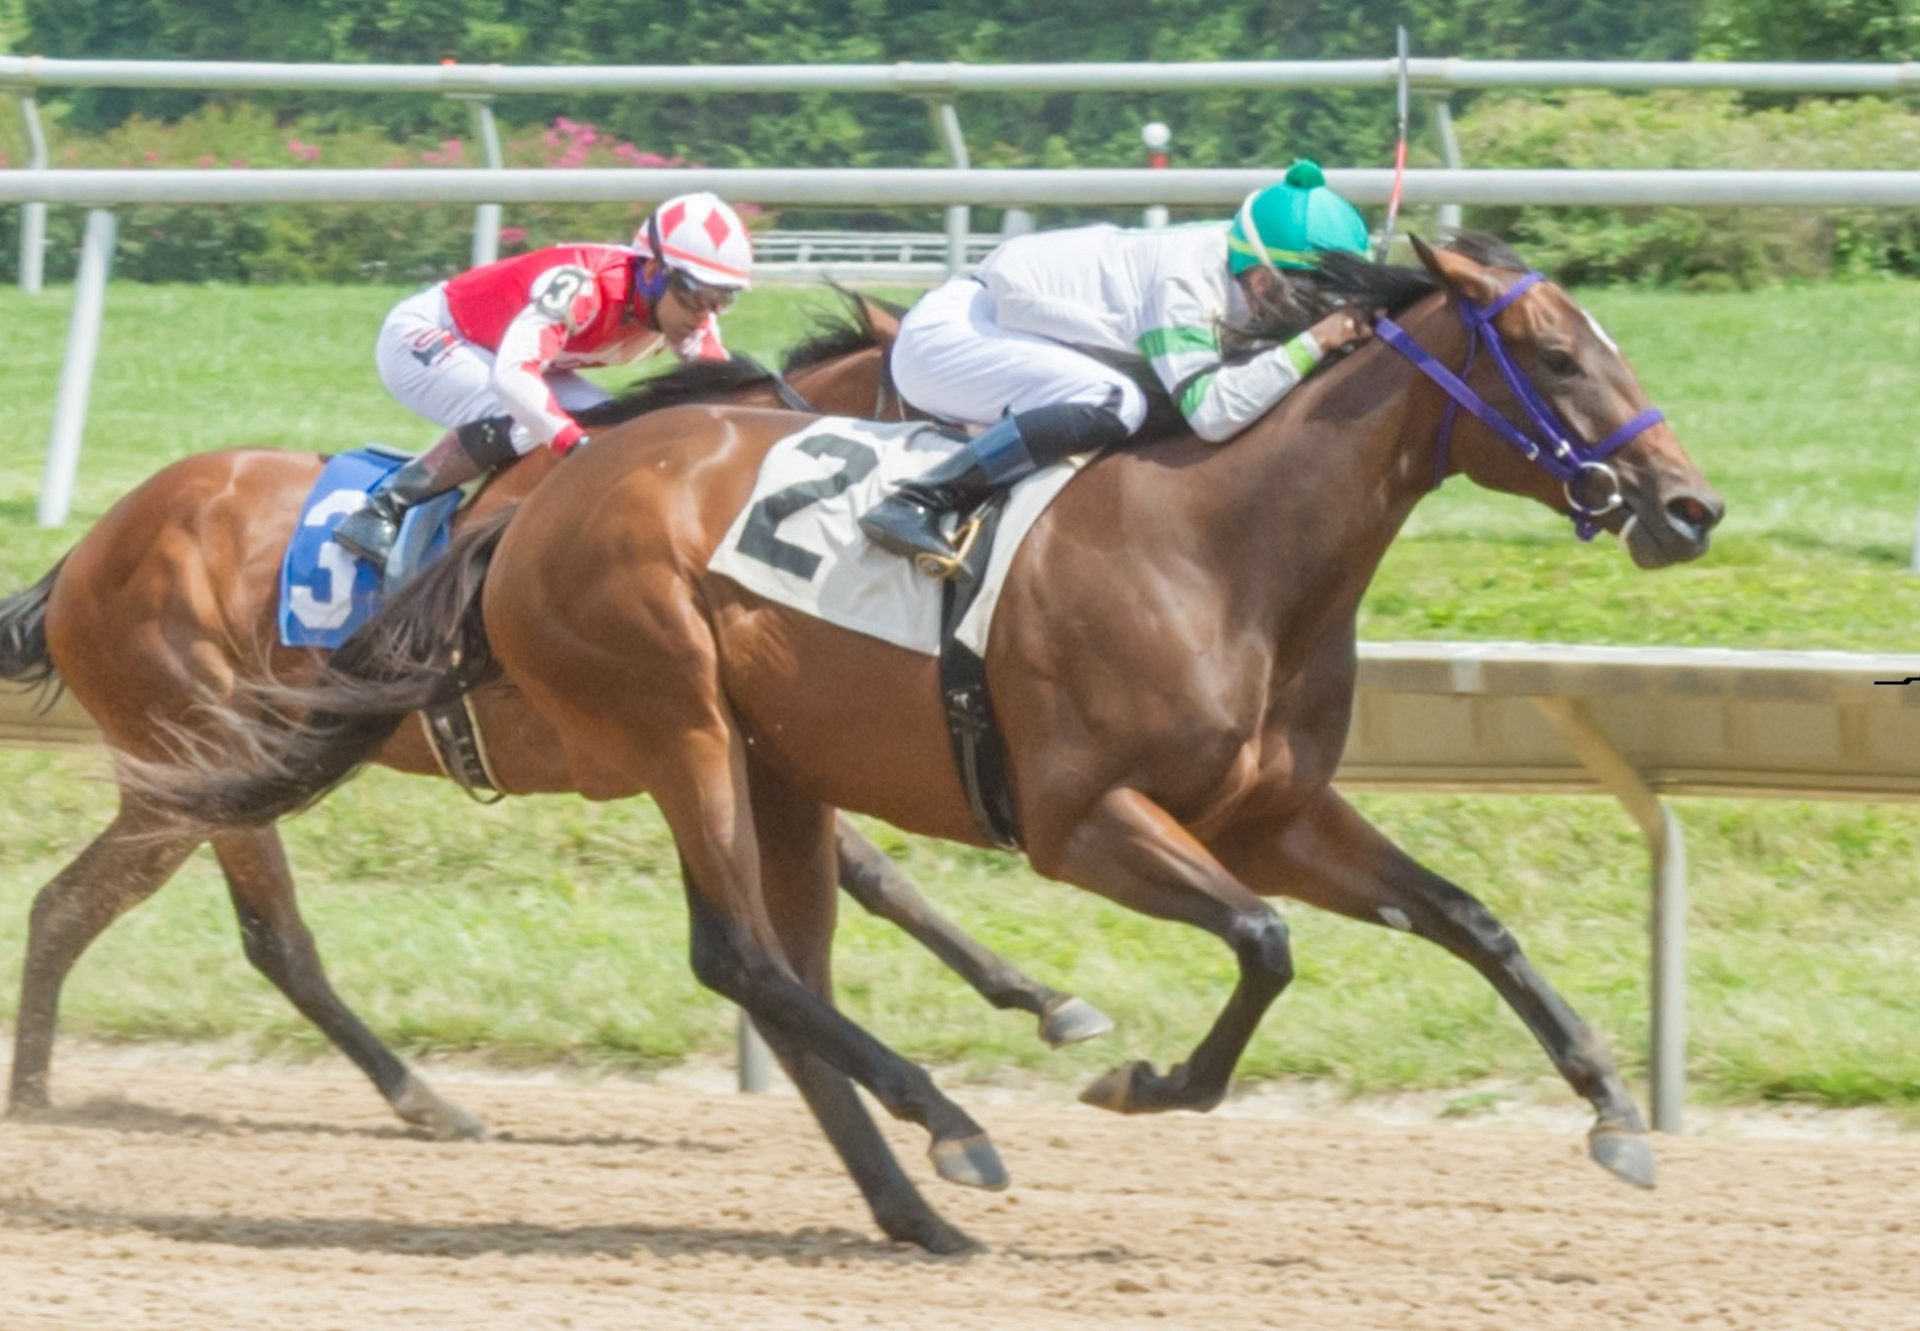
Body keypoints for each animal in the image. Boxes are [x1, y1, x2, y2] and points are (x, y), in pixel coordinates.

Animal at [0, 290, 1113, 1144]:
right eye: (971, 424)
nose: (981, 560)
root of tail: (84, 557)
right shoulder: (668, 732)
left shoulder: (731, 731)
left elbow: (880, 877)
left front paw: (1049, 1001)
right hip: (209, 748)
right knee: (275, 940)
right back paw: (425, 1100)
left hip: (175, 775)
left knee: (64, 905)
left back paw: (37, 1097)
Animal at [131, 236, 1728, 1244]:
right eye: (1550, 352)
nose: (1688, 504)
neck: (1226, 542)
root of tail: (532, 507)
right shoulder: (1083, 819)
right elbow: (1265, 941)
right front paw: (1137, 1077)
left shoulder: (1270, 807)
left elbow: (1468, 915)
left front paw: (1614, 1109)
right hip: (675, 716)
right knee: (744, 956)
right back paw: (949, 1123)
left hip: (770, 760)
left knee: (785, 966)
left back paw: (914, 1206)